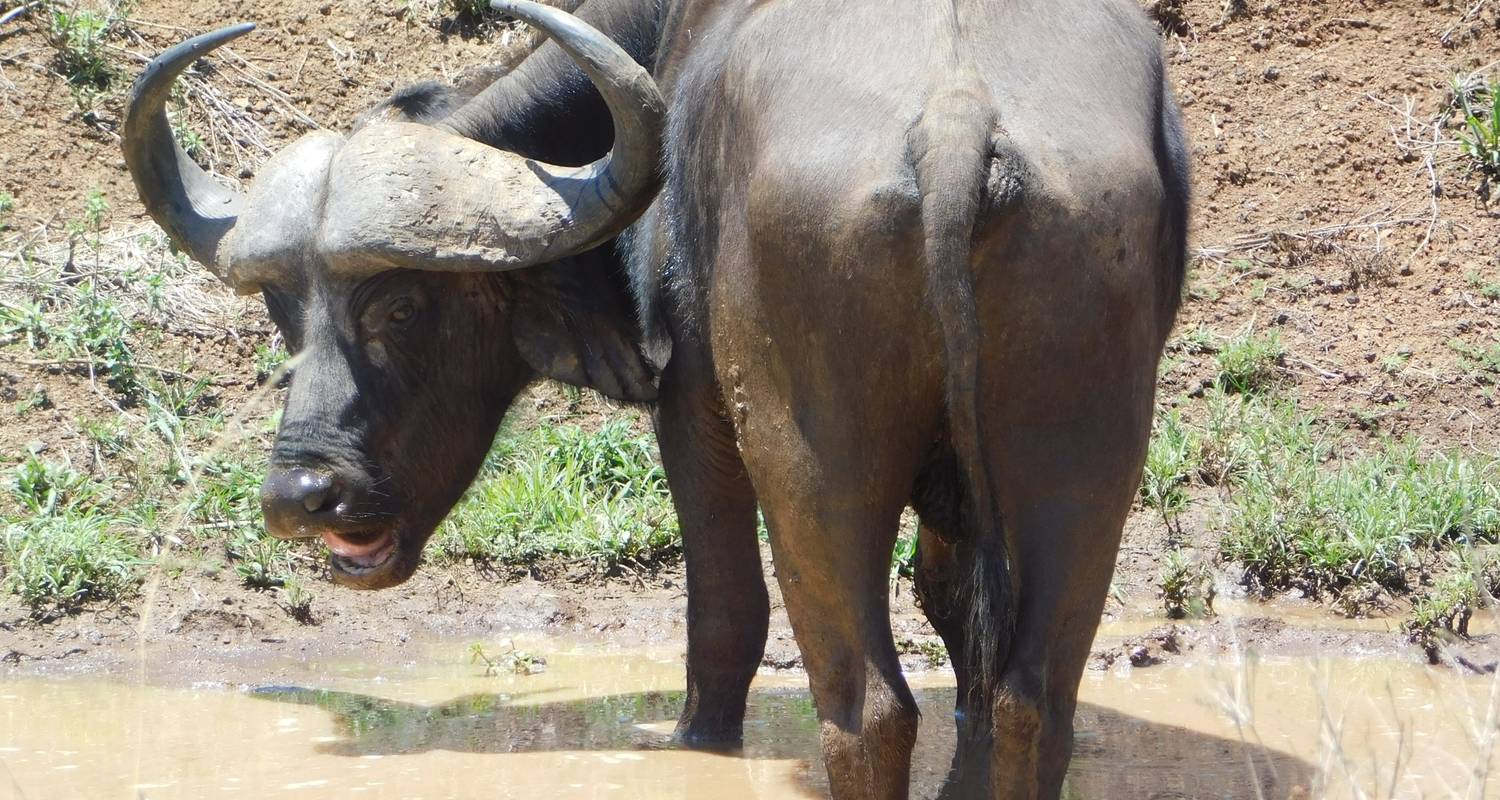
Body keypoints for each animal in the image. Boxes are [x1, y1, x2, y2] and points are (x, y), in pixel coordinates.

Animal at [124, 1, 1188, 798]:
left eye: (402, 304)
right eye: (281, 308)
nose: (302, 497)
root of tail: (959, 117)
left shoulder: (692, 406)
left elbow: (724, 620)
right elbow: (958, 618)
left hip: (804, 461)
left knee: (864, 709)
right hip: (1085, 462)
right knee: (1030, 701)